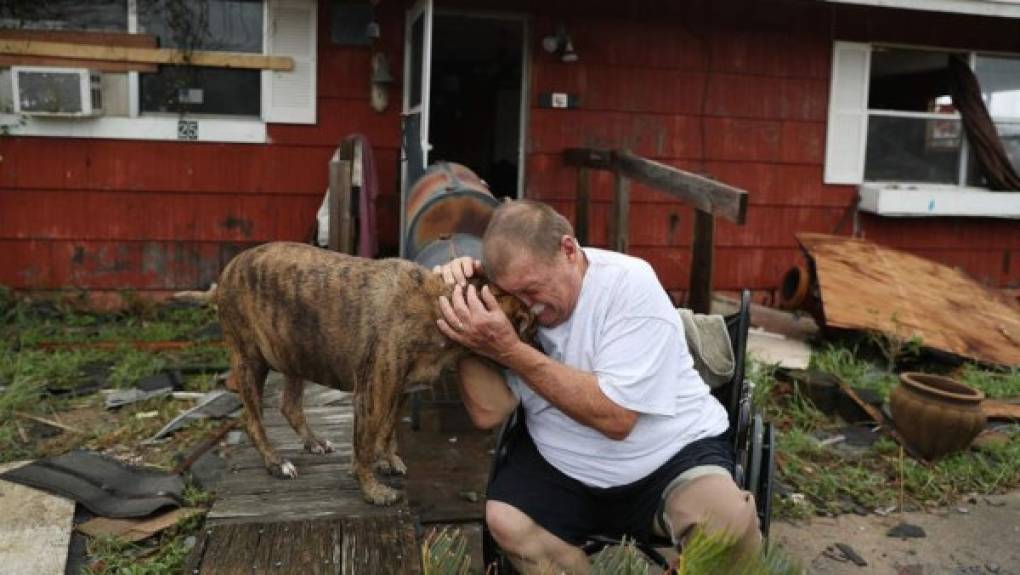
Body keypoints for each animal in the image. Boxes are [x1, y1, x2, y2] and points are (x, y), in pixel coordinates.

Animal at [179, 240, 534, 505]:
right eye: (526, 323)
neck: (438, 304)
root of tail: (223, 279)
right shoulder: (372, 395)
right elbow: (363, 445)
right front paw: (372, 490)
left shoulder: (399, 391)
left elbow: (386, 431)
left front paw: (386, 459)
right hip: (250, 362)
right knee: (252, 420)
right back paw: (276, 462)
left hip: (294, 351)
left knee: (289, 406)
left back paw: (313, 441)